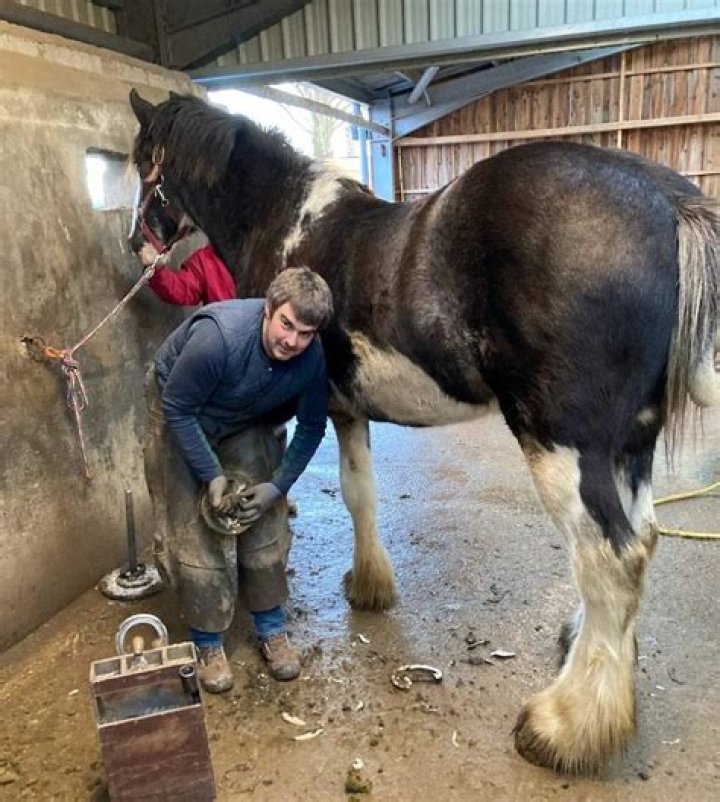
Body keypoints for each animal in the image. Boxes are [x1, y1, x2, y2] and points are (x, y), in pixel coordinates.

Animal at [128, 88, 719, 773]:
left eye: (140, 160)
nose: (136, 242)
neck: (287, 220)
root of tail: (664, 201)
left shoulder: (312, 407)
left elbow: (331, 491)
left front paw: (348, 582)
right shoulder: (346, 409)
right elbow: (362, 492)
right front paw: (370, 583)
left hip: (563, 444)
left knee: (610, 556)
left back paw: (564, 726)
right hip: (631, 443)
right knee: (639, 538)